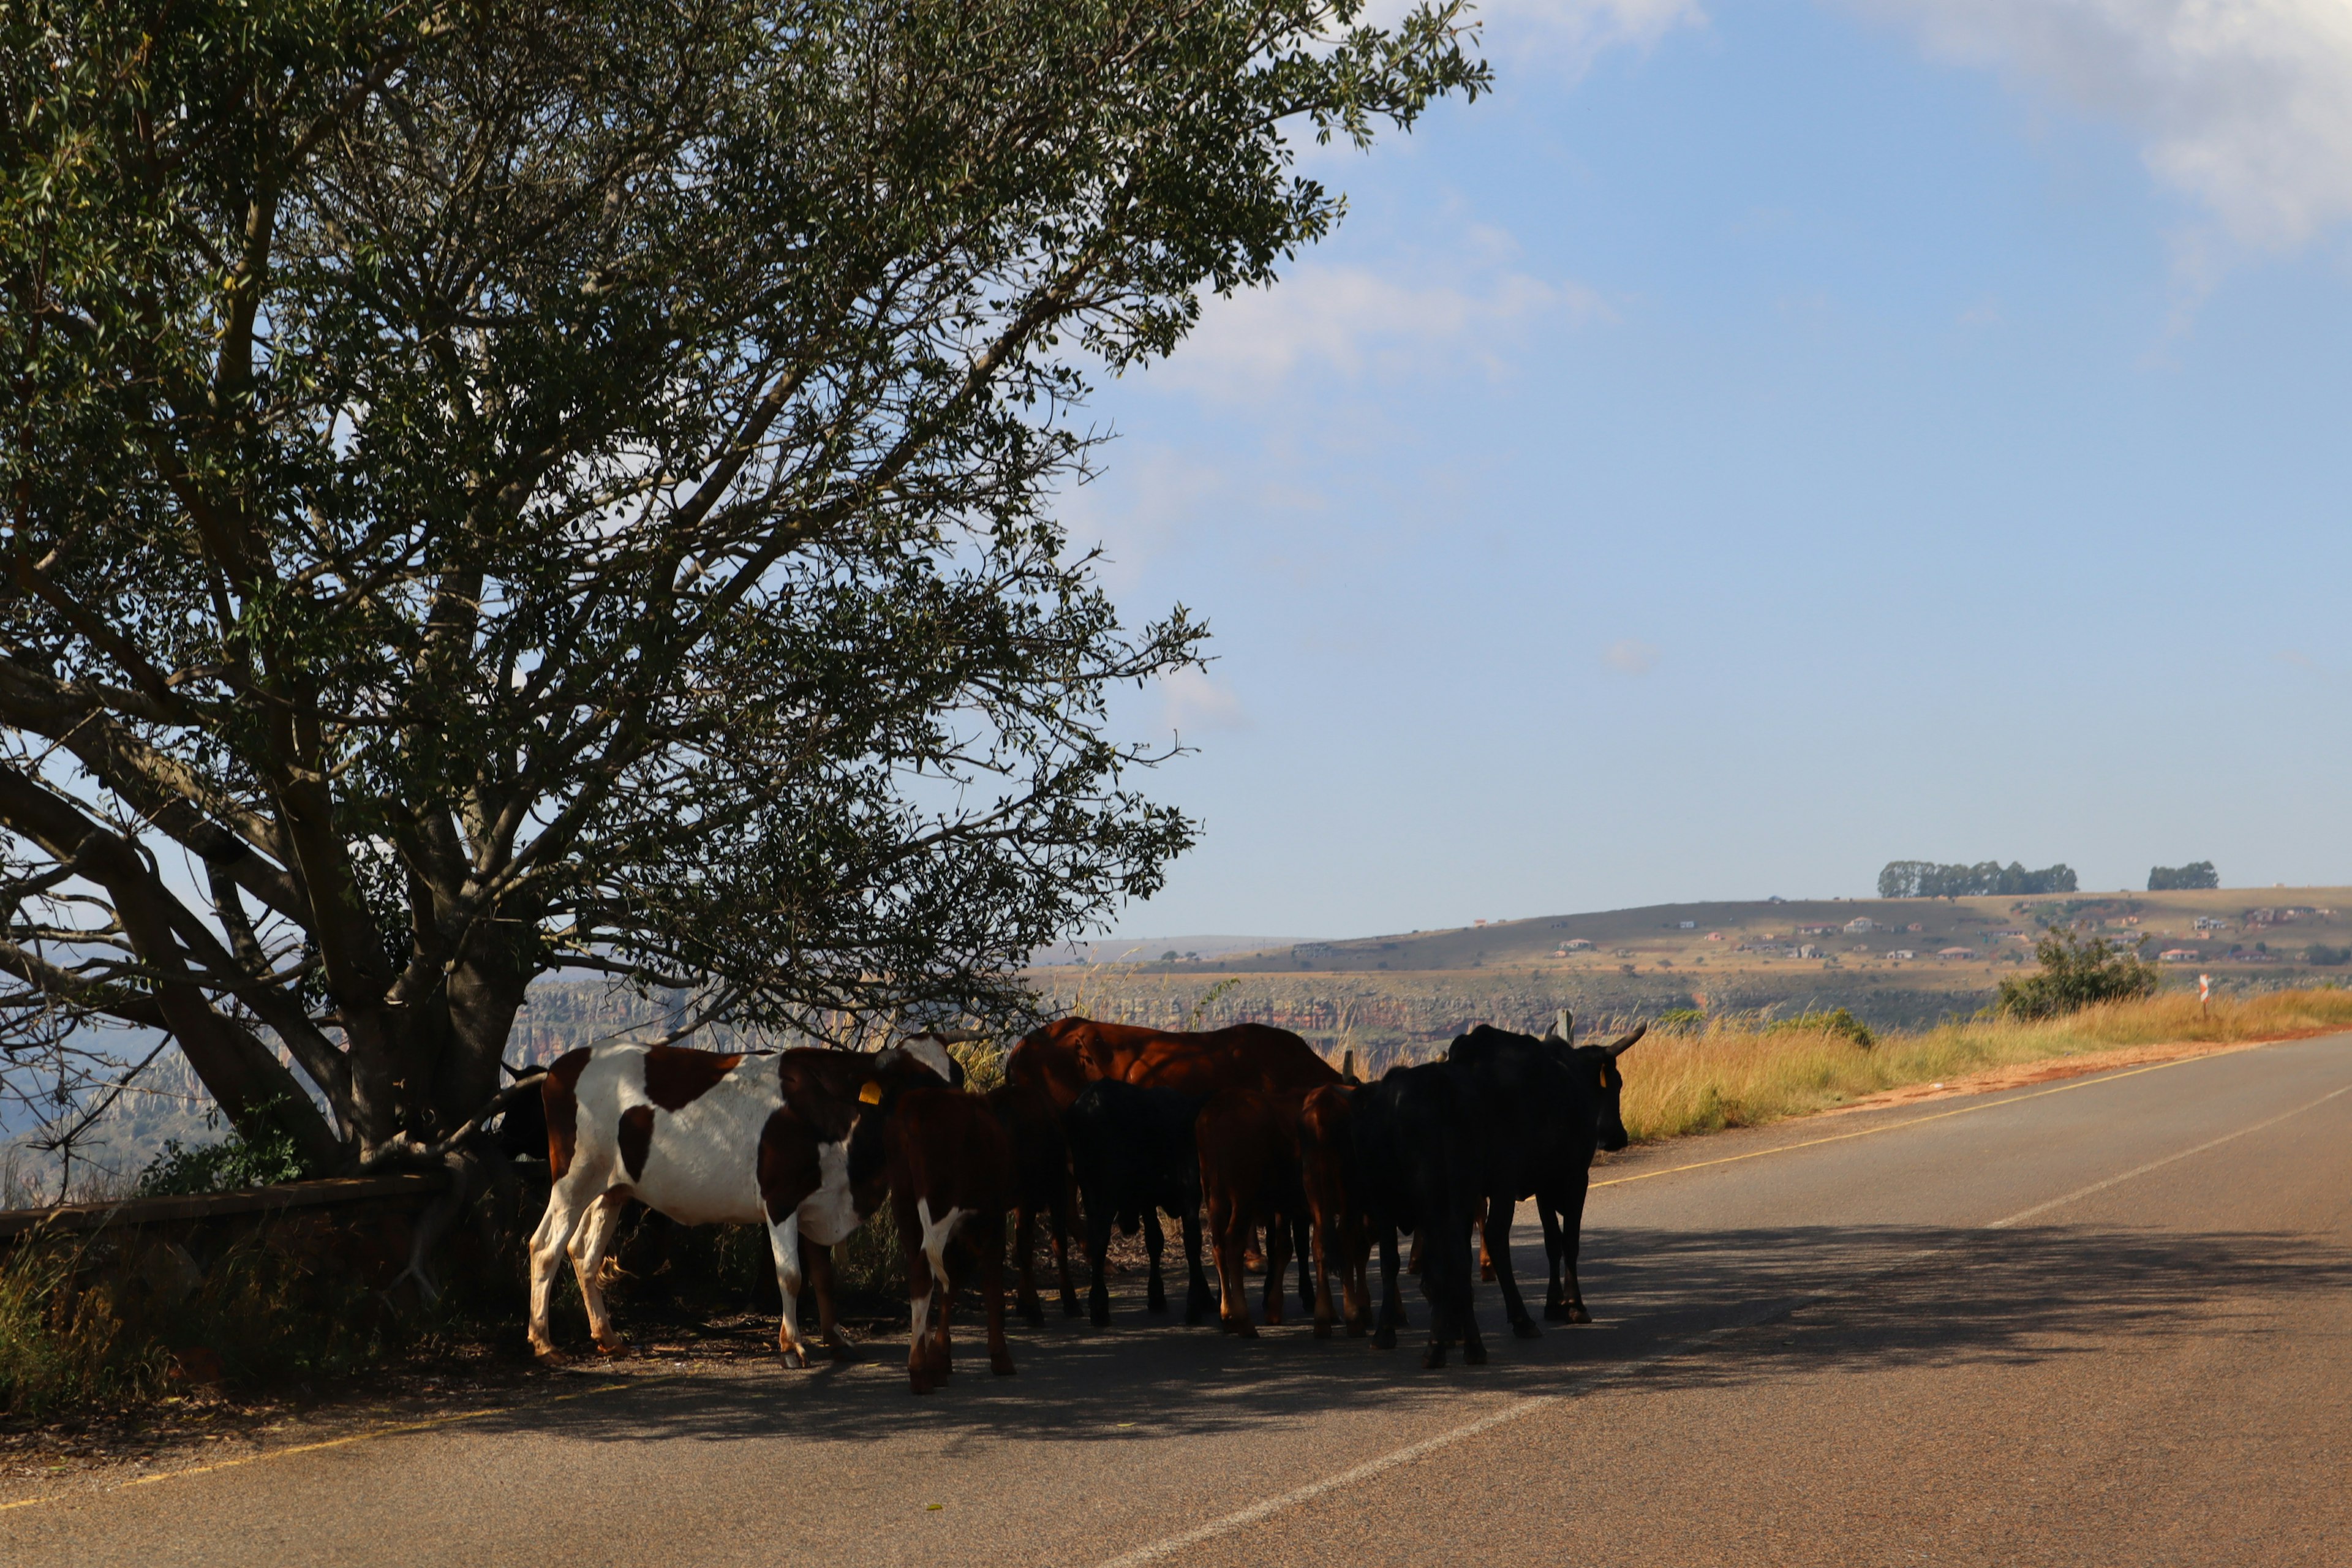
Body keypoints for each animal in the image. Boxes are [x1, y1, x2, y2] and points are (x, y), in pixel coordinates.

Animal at [524, 1044, 955, 1363]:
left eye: (956, 1080)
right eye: (915, 1083)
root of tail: (564, 1065)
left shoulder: (818, 1201)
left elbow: (823, 1275)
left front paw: (835, 1340)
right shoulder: (781, 1199)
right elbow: (791, 1275)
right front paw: (792, 1345)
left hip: (609, 1191)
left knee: (583, 1253)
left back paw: (608, 1339)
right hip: (573, 1180)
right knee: (546, 1248)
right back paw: (545, 1345)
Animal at [884, 1090, 1020, 1401]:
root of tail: (919, 1103)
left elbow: (950, 1285)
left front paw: (939, 1359)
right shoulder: (994, 1219)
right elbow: (990, 1284)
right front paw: (1000, 1357)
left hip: (905, 1206)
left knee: (920, 1275)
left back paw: (922, 1367)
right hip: (939, 1206)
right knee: (925, 1272)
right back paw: (918, 1372)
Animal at [1068, 1081, 1213, 1325]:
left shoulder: (1148, 1201)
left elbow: (1155, 1241)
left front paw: (1157, 1296)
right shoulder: (1190, 1194)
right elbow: (1193, 1243)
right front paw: (1198, 1301)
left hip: (1089, 1188)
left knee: (1096, 1239)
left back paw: (1097, 1305)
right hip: (1108, 1190)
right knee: (1101, 1236)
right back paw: (1099, 1306)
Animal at [1345, 1062, 1486, 1363]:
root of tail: (1438, 1082)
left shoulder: (1383, 1205)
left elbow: (1390, 1264)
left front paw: (1384, 1333)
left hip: (1431, 1197)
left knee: (1444, 1265)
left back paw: (1434, 1349)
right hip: (1462, 1197)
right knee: (1460, 1261)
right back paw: (1473, 1345)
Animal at [1439, 1011, 1646, 1335]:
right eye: (1616, 1083)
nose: (1617, 1138)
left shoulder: (1543, 1185)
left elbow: (1552, 1241)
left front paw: (1554, 1304)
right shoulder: (1576, 1178)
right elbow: (1570, 1240)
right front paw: (1574, 1305)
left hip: (1463, 1186)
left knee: (1460, 1238)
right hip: (1501, 1183)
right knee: (1496, 1235)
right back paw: (1521, 1318)